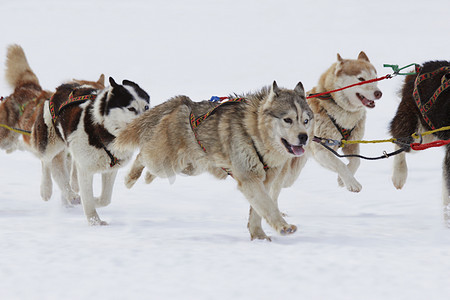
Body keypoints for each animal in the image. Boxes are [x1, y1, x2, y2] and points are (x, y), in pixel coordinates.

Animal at [29, 76, 150, 224]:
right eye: (131, 108)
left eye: (146, 107)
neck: (101, 130)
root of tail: (59, 89)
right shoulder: (85, 169)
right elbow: (88, 198)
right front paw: (95, 222)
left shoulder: (111, 169)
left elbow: (105, 199)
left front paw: (95, 201)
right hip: (50, 142)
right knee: (46, 163)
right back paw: (47, 190)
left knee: (60, 172)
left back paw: (71, 196)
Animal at [114, 81, 314, 240]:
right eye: (288, 120)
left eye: (305, 120)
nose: (304, 137)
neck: (254, 133)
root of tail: (184, 102)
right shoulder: (249, 179)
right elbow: (268, 206)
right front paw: (283, 227)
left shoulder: (264, 181)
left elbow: (258, 211)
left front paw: (258, 236)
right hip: (165, 162)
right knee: (141, 155)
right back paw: (130, 178)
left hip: (188, 167)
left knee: (152, 168)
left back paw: (147, 178)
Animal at [306, 51, 384, 192]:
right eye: (361, 79)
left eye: (375, 78)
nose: (378, 93)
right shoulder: (321, 149)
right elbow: (340, 164)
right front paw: (351, 183)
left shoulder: (351, 143)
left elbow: (356, 161)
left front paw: (342, 180)